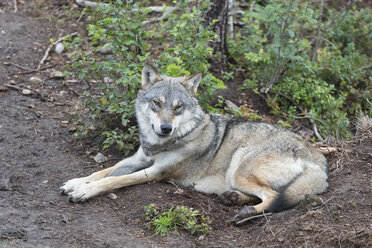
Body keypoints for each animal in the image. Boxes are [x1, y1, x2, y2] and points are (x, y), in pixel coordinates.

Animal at [61, 63, 328, 226]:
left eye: (178, 107)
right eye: (157, 103)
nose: (165, 128)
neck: (162, 143)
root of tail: (321, 162)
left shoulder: (155, 172)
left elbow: (113, 181)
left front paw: (84, 191)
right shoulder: (138, 159)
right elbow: (103, 171)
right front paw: (76, 182)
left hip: (240, 166)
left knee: (275, 197)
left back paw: (245, 214)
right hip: (238, 175)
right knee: (265, 195)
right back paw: (232, 199)